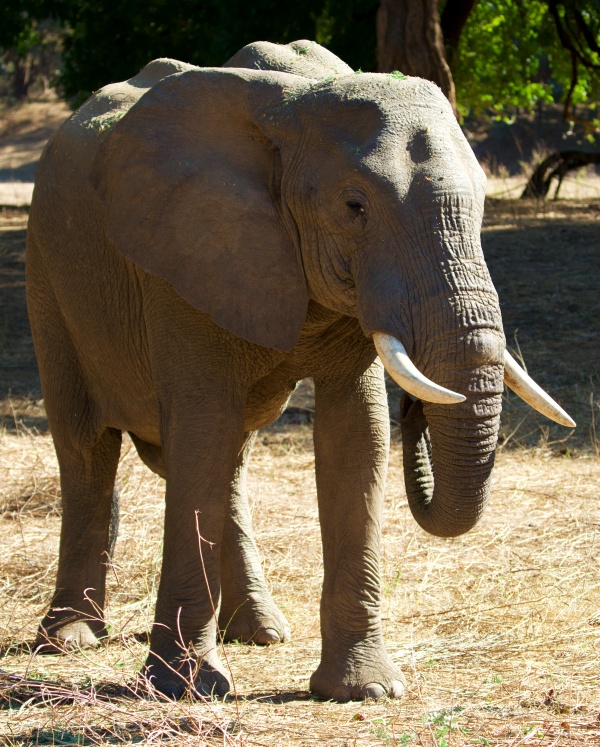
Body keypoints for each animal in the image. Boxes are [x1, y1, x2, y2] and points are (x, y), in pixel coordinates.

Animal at [26, 39, 574, 702]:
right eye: (354, 207)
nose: (419, 404)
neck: (295, 109)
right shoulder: (183, 256)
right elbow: (200, 431)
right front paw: (185, 690)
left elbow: (356, 436)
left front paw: (363, 691)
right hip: (47, 274)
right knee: (88, 448)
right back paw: (69, 640)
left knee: (228, 459)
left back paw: (260, 633)